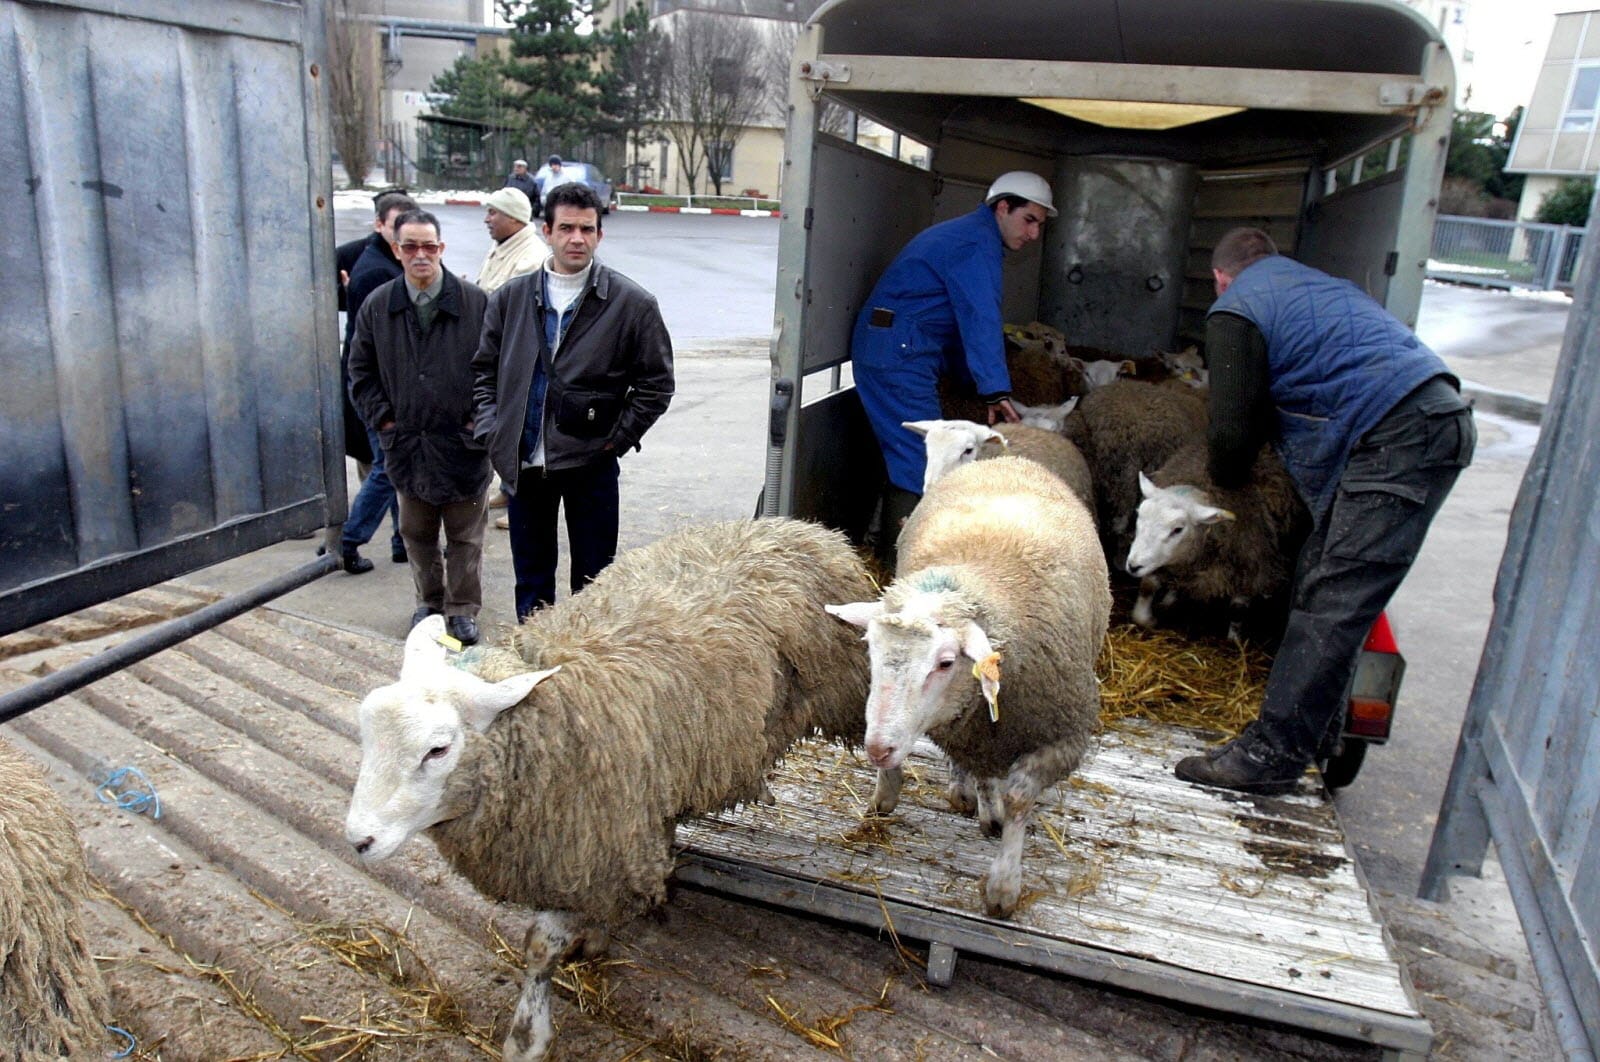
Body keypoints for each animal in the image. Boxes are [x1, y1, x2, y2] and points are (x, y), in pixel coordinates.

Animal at [344, 518, 873, 1062]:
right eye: (367, 731)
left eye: (438, 750)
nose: (359, 840)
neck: (550, 715)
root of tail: (803, 528)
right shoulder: (604, 841)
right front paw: (595, 937)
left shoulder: (596, 846)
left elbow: (540, 946)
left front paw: (527, 1035)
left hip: (853, 686)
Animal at [827, 456, 1110, 919]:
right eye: (870, 649)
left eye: (945, 663)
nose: (878, 749)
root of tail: (1007, 459)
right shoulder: (975, 729)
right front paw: (889, 791)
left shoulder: (1064, 736)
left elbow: (1019, 798)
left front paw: (1003, 887)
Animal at [1124, 443, 1310, 642]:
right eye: (1139, 514)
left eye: (1178, 529)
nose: (1133, 566)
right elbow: (1147, 588)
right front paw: (1148, 619)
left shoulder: (1250, 568)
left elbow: (1237, 610)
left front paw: (1234, 641)